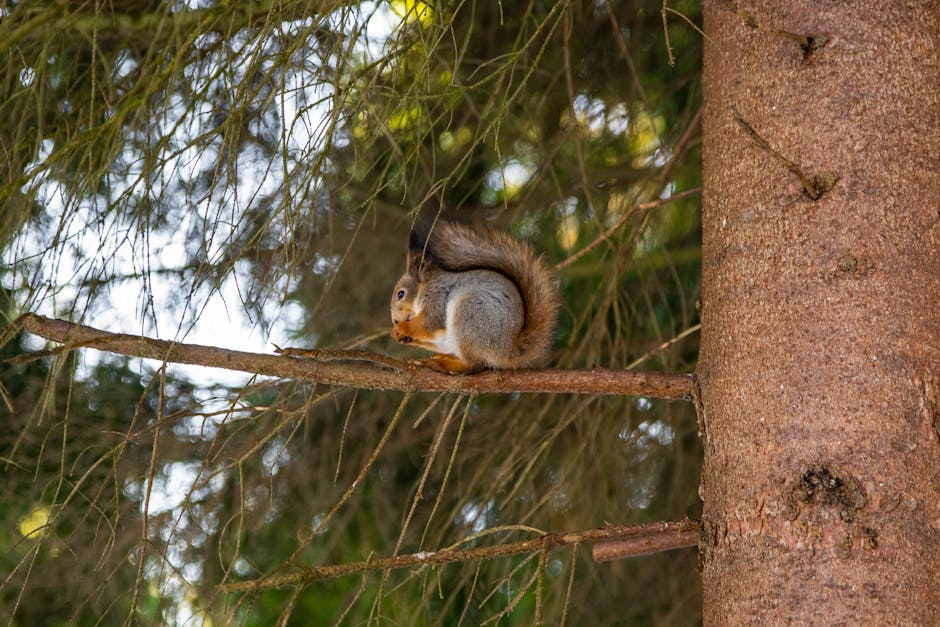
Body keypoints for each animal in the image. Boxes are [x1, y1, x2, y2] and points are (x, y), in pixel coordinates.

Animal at [390, 220, 560, 374]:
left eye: (401, 294)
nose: (395, 320)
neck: (425, 288)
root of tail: (509, 352)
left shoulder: (437, 298)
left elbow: (429, 322)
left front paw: (401, 328)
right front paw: (401, 335)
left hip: (470, 314)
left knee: (473, 365)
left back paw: (445, 365)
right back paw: (445, 358)